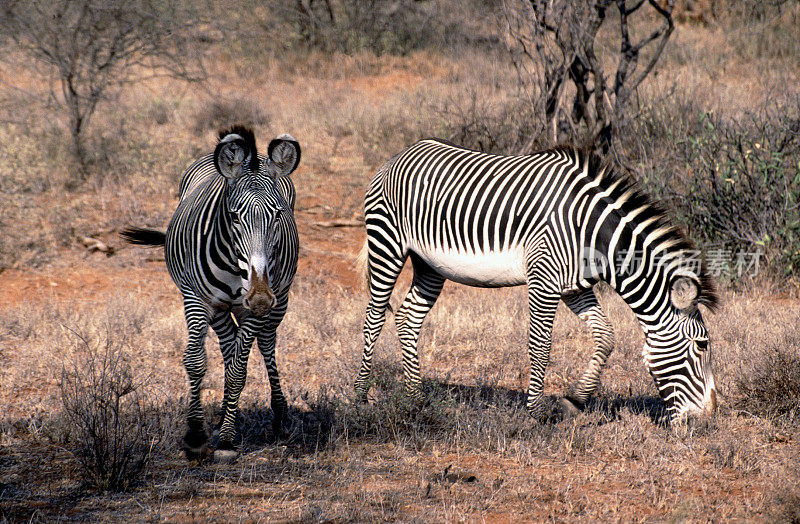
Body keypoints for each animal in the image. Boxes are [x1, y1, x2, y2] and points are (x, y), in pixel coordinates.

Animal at [122, 126, 300, 458]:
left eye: (278, 216)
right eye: (234, 216)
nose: (259, 297)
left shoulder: (258, 305)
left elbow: (238, 370)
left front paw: (228, 439)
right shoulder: (196, 298)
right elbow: (196, 361)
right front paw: (196, 434)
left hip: (278, 299)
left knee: (265, 344)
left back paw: (279, 418)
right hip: (219, 308)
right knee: (228, 345)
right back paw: (225, 417)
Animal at [356, 138, 720, 422]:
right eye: (701, 345)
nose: (706, 419)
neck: (592, 234)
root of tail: (399, 154)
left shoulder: (574, 287)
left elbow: (606, 337)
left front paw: (575, 401)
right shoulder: (543, 278)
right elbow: (540, 344)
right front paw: (536, 411)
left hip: (430, 264)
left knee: (408, 318)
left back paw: (415, 398)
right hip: (387, 243)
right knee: (374, 317)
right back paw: (361, 397)